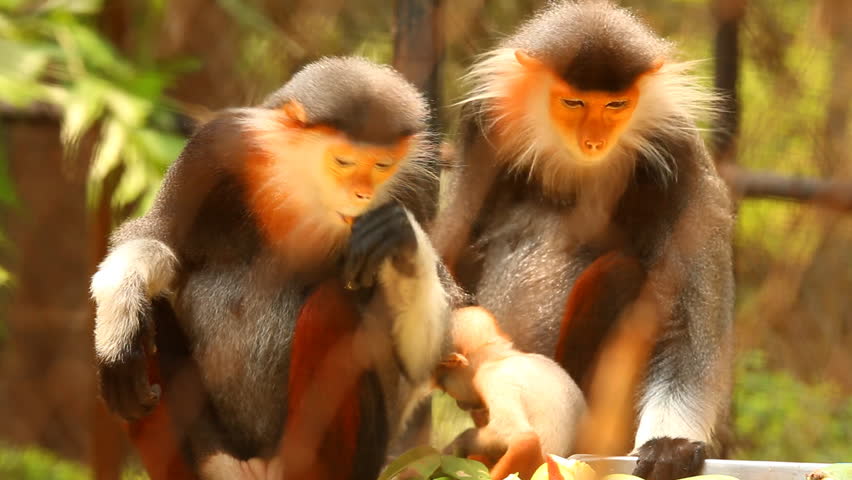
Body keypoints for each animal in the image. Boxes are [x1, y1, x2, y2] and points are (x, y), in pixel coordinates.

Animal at [89, 56, 457, 480]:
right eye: (343, 162)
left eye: (382, 166)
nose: (362, 194)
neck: (305, 187)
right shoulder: (217, 144)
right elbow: (155, 236)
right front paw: (120, 319)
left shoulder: (420, 184)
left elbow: (430, 358)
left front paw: (399, 236)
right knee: (152, 315)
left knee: (330, 307)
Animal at [435, 306, 586, 480]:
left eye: (445, 387)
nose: (459, 404)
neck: (502, 358)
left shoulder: (491, 377)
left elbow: (524, 438)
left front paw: (462, 442)